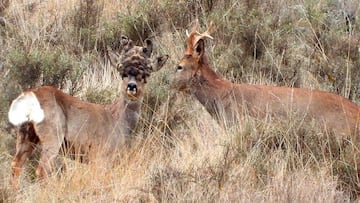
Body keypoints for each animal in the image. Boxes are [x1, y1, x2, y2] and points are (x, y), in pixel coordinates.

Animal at [8, 36, 169, 187]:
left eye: (146, 74)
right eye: (121, 71)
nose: (132, 86)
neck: (118, 120)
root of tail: (29, 96)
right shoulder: (100, 155)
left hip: (26, 135)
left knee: (16, 164)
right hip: (52, 135)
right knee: (42, 170)